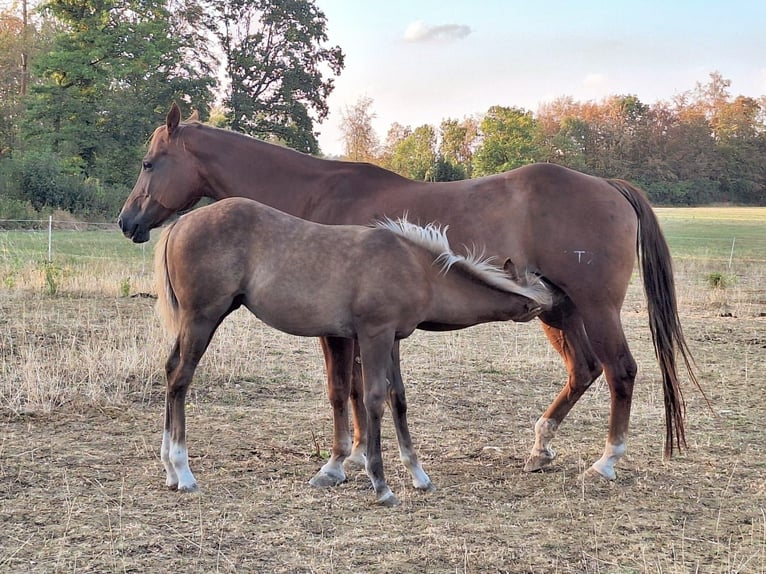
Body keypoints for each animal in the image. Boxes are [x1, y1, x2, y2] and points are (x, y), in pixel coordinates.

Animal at [154, 196, 552, 505]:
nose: (554, 311)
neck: (415, 266)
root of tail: (180, 223)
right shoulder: (374, 334)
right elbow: (374, 399)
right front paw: (381, 484)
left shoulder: (393, 339)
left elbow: (398, 398)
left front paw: (419, 475)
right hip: (204, 317)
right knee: (181, 378)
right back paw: (184, 472)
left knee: (170, 368)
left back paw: (169, 470)